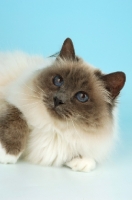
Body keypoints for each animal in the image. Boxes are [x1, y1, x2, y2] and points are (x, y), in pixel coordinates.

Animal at [0, 38, 126, 172]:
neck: (53, 127)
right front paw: (6, 154)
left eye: (82, 96)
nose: (58, 100)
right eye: (58, 80)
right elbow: (18, 121)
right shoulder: (9, 102)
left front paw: (83, 161)